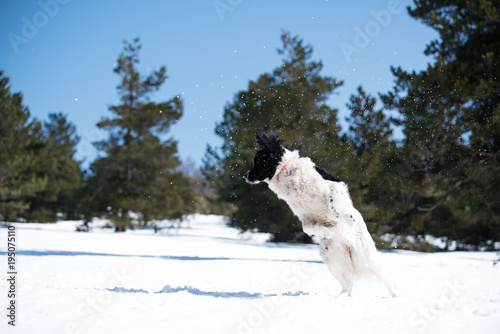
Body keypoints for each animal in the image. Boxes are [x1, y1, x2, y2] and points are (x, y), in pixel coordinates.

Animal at [244, 129, 396, 298]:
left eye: (258, 162)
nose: (245, 176)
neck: (286, 172)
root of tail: (350, 246)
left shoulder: (334, 186)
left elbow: (333, 209)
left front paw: (347, 220)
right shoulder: (305, 217)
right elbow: (308, 228)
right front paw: (328, 231)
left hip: (367, 256)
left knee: (385, 277)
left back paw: (395, 296)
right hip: (332, 260)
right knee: (348, 285)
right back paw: (340, 297)